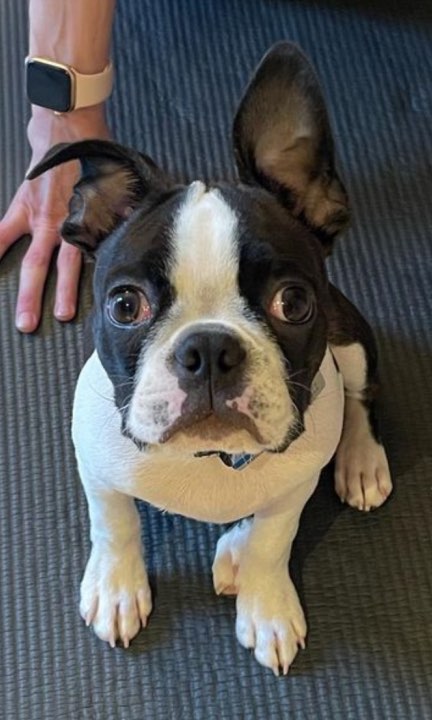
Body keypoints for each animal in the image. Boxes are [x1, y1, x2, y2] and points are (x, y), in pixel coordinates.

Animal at [29, 43, 392, 675]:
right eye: (126, 305)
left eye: (294, 302)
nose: (209, 349)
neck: (208, 456)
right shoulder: (96, 464)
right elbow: (114, 523)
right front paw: (117, 588)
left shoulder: (296, 482)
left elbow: (274, 539)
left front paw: (266, 603)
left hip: (350, 336)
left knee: (361, 394)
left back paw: (360, 462)